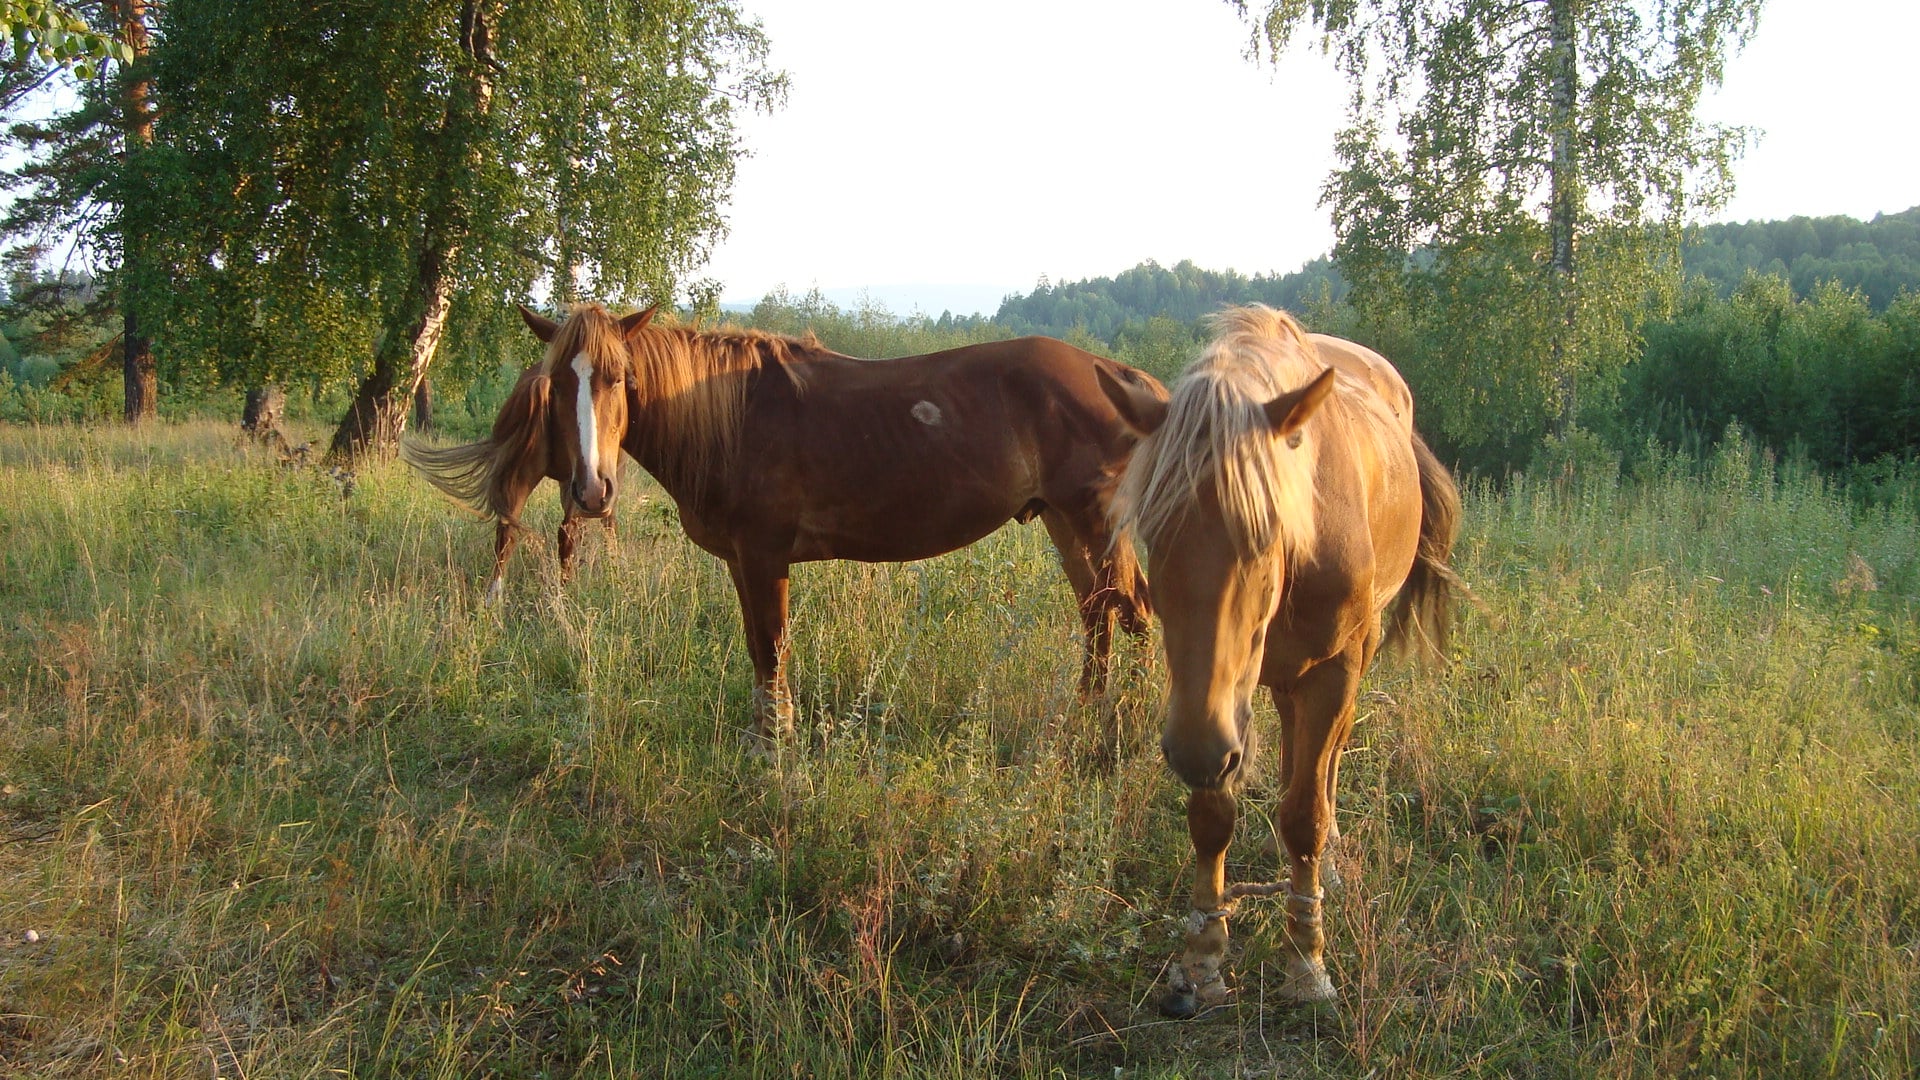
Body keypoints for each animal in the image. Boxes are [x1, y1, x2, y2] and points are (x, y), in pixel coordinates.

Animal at [410, 302, 1165, 742]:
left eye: (619, 378)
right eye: (554, 385)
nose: (592, 491)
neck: (729, 416)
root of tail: (1120, 376)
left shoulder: (766, 554)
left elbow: (772, 648)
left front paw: (778, 747)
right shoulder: (744, 562)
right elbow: (756, 648)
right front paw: (763, 735)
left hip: (1092, 521)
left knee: (1131, 614)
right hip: (1063, 522)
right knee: (1099, 614)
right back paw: (1086, 717)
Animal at [1095, 304, 1460, 1015]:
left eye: (1268, 534)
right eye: (1153, 531)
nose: (1198, 751)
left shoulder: (1332, 670)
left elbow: (1305, 814)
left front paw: (1306, 963)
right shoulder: (1212, 706)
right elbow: (1212, 820)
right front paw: (1204, 959)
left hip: (1350, 657)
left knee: (1327, 762)